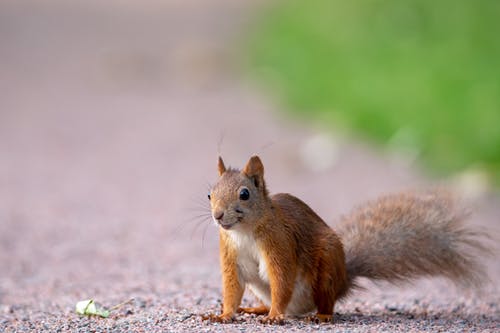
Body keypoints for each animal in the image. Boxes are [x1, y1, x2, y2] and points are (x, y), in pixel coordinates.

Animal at [203, 156, 492, 324]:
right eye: (210, 194)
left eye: (244, 194)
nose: (218, 216)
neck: (244, 232)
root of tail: (344, 278)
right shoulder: (230, 256)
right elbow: (232, 289)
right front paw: (223, 314)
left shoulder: (280, 245)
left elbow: (282, 280)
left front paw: (275, 316)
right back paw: (258, 309)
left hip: (326, 269)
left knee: (325, 301)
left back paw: (319, 315)